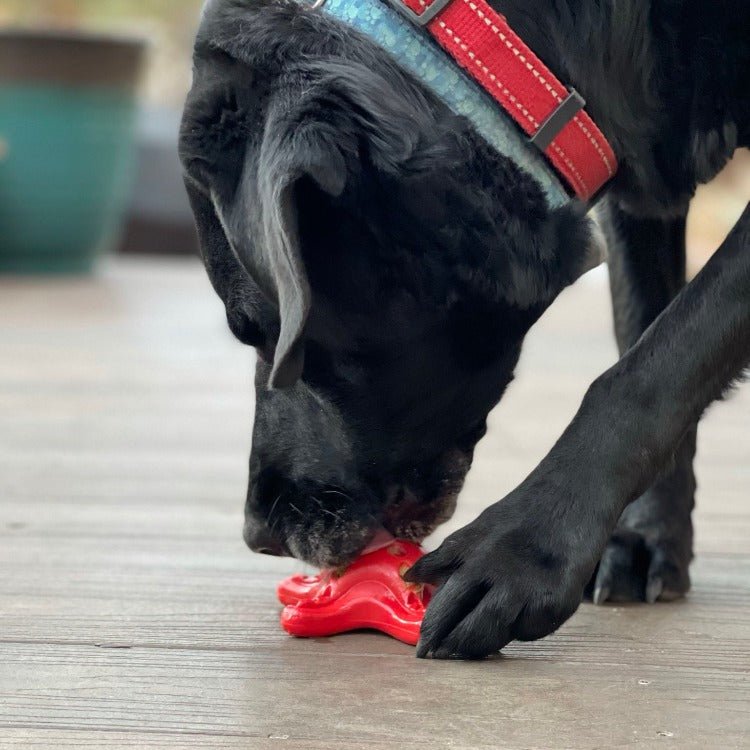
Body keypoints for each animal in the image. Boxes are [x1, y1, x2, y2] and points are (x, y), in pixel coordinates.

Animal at [178, 0, 750, 656]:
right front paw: (644, 538)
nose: (258, 536)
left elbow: (654, 366)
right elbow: (643, 329)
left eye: (265, 333)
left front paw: (519, 553)